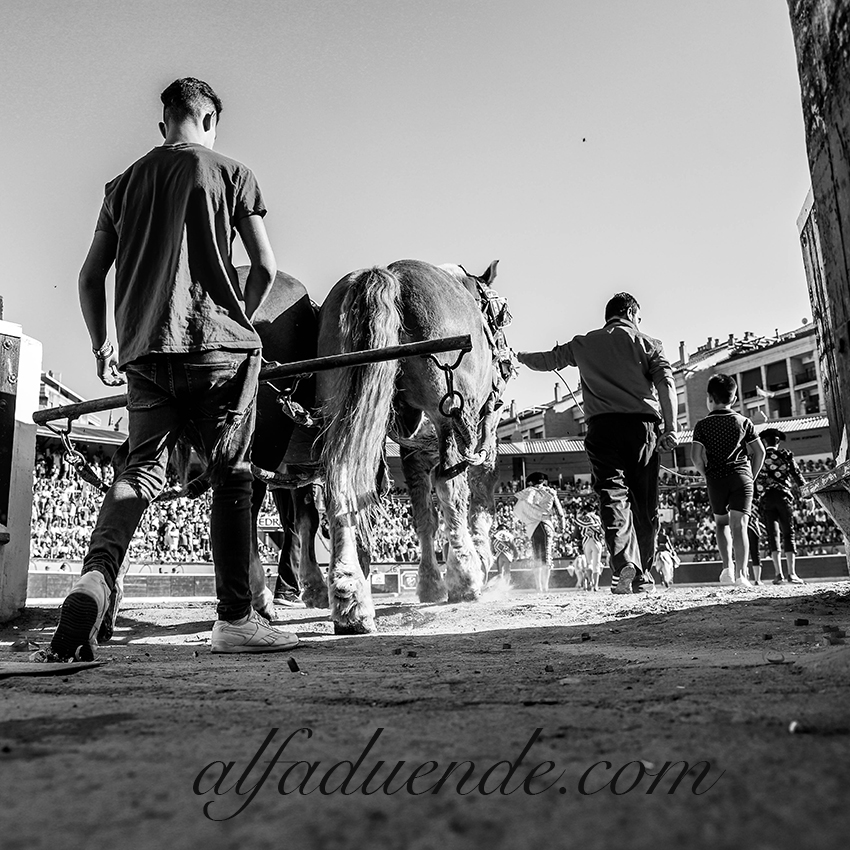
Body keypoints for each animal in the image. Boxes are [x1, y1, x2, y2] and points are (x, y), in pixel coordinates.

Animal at [316, 262, 504, 632]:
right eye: (499, 314)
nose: (506, 358)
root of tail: (389, 275)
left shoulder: (412, 448)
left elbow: (422, 515)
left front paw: (430, 582)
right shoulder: (478, 428)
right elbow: (475, 495)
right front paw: (474, 561)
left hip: (342, 409)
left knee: (341, 487)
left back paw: (350, 595)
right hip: (448, 411)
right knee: (449, 486)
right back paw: (464, 576)